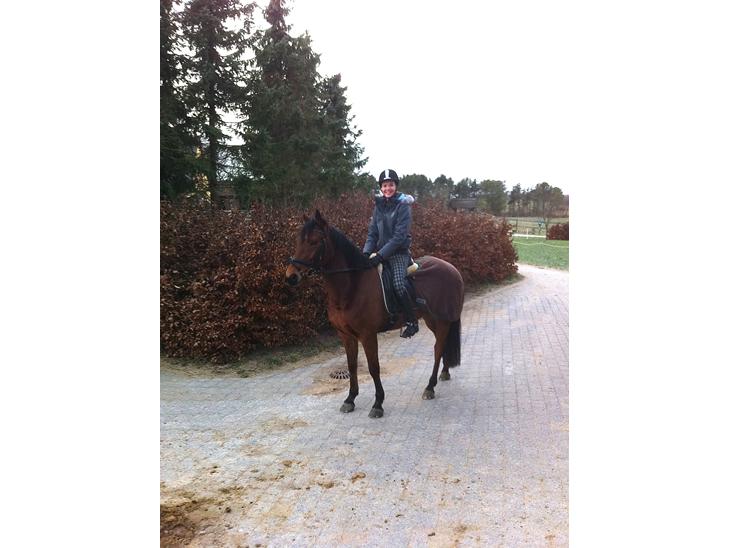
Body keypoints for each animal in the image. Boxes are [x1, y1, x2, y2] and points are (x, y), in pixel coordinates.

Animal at [285, 210, 464, 418]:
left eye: (314, 242)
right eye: (298, 240)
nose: (291, 276)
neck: (352, 286)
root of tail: (452, 269)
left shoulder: (367, 335)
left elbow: (373, 367)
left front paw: (378, 403)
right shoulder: (346, 335)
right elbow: (352, 365)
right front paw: (350, 399)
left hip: (443, 321)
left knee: (437, 349)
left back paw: (430, 387)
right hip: (432, 320)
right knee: (442, 346)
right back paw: (444, 373)